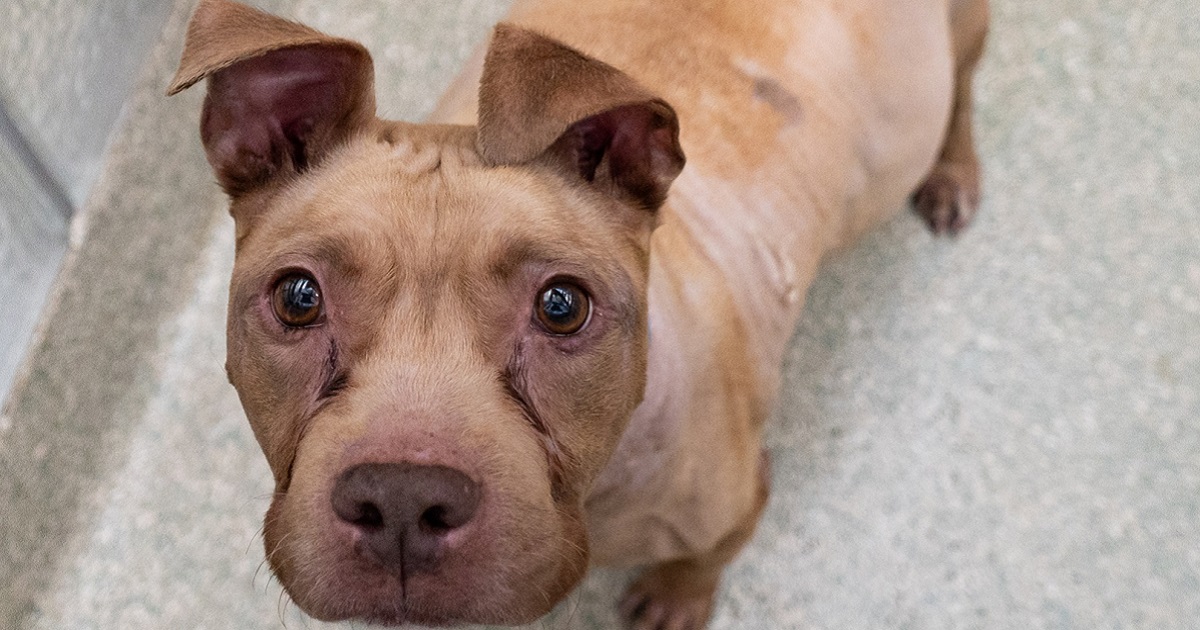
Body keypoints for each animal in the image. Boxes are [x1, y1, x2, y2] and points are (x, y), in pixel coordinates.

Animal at [169, 0, 988, 624]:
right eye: (297, 297)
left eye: (562, 308)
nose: (402, 500)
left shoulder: (739, 505)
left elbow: (701, 565)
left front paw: (677, 599)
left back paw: (953, 169)